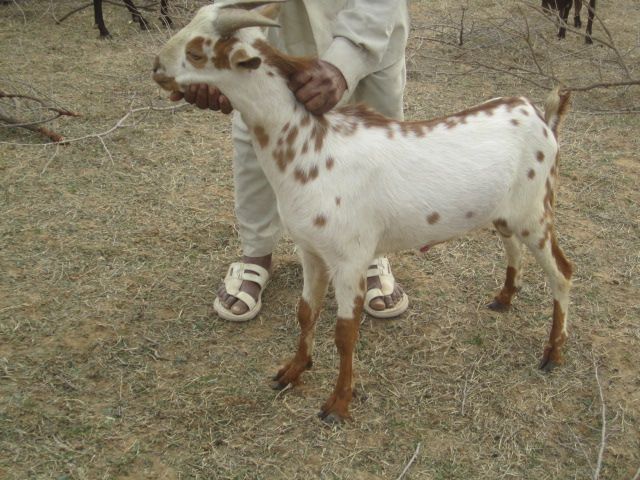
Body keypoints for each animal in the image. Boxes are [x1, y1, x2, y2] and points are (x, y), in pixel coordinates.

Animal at [154, 0, 576, 422]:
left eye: (197, 51)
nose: (157, 67)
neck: (311, 150)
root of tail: (542, 117)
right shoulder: (311, 251)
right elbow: (305, 312)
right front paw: (293, 371)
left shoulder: (349, 259)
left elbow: (345, 333)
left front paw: (338, 403)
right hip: (505, 213)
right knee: (512, 246)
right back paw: (504, 298)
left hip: (536, 212)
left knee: (562, 273)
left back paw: (553, 353)